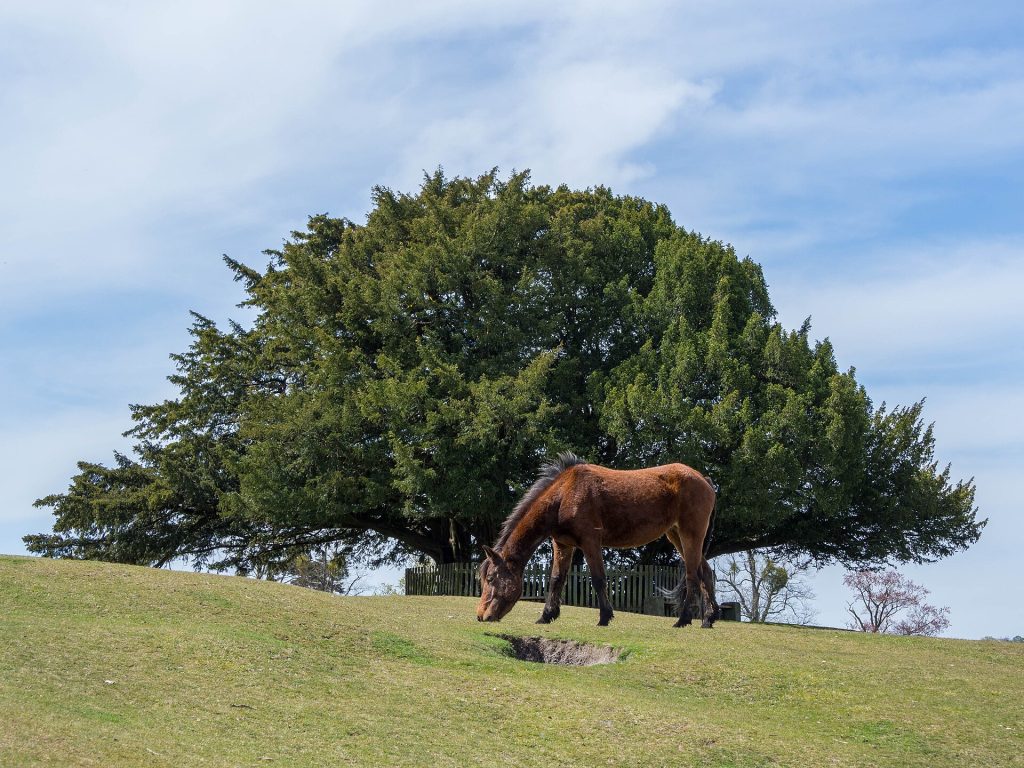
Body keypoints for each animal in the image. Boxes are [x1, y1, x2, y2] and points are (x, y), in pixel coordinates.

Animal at [476, 453, 719, 628]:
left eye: (490, 578)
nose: (480, 615)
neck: (565, 494)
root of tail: (704, 480)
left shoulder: (590, 542)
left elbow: (598, 579)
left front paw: (604, 617)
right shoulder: (563, 545)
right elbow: (556, 579)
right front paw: (547, 616)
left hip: (690, 535)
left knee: (692, 576)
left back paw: (683, 620)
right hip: (676, 535)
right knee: (704, 573)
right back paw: (708, 619)